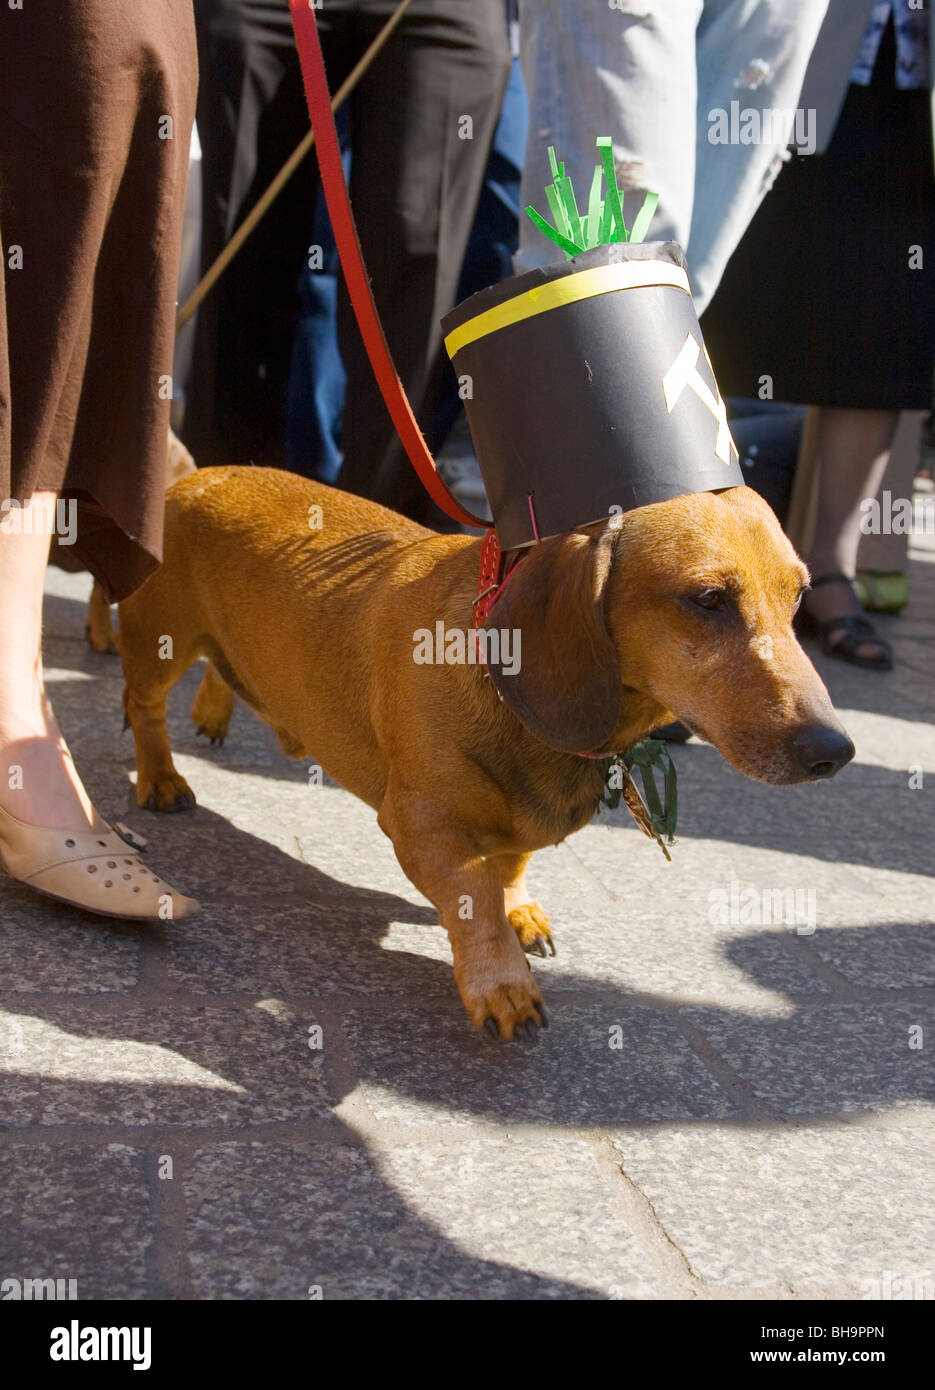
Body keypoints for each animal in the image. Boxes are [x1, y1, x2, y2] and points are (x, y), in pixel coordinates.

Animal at [118, 472, 855, 1039]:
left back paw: (214, 709)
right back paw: (161, 778)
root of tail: (198, 473)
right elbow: (472, 894)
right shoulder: (420, 824)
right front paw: (501, 984)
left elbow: (509, 869)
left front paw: (520, 911)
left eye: (798, 598)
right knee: (142, 708)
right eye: (707, 600)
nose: (835, 753)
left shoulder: (519, 826)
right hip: (160, 640)